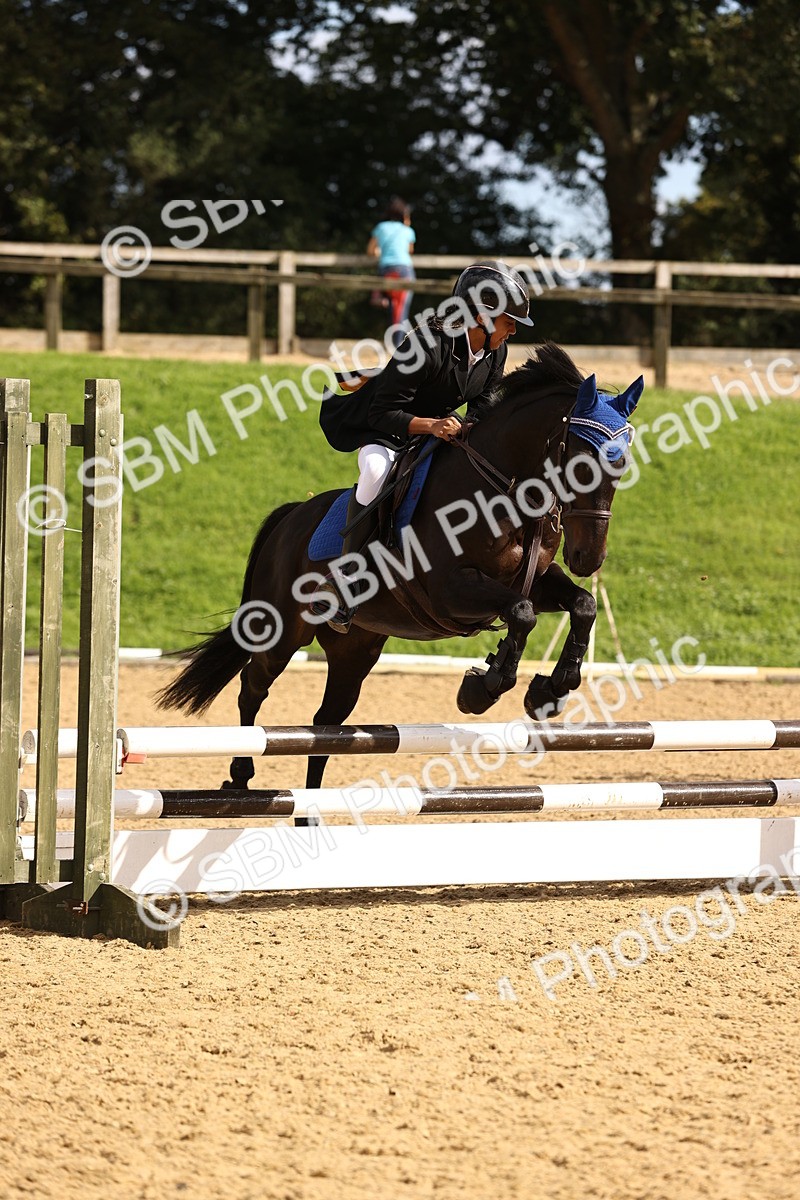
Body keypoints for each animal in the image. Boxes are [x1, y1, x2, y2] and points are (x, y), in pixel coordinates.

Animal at [156, 343, 642, 793]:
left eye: (622, 462)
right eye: (580, 458)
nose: (588, 558)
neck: (505, 491)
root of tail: (291, 517)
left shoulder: (535, 581)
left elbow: (581, 605)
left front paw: (551, 688)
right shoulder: (450, 590)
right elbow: (521, 614)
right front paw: (482, 690)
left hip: (355, 649)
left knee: (326, 725)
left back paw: (310, 811)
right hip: (282, 632)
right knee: (253, 688)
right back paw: (240, 775)